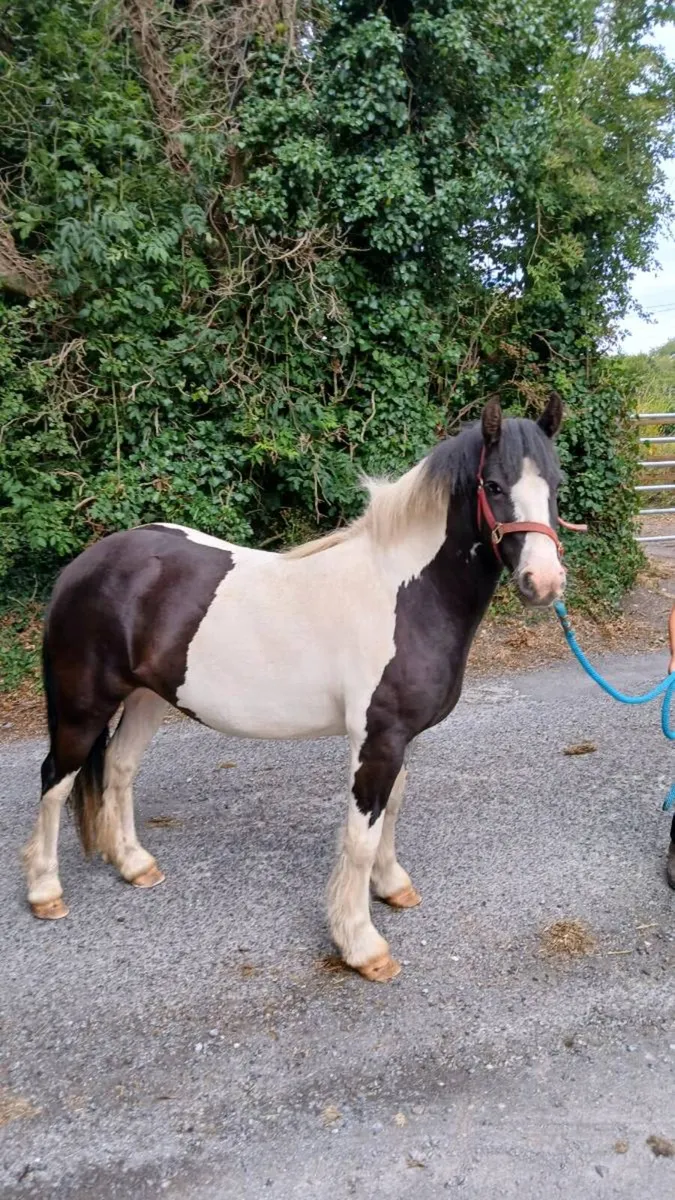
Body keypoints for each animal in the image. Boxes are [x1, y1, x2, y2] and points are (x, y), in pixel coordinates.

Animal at [23, 394, 566, 981]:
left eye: (556, 482)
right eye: (493, 484)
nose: (544, 583)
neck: (405, 595)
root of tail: (82, 567)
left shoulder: (401, 738)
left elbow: (392, 811)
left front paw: (392, 887)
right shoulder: (376, 740)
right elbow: (360, 836)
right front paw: (361, 945)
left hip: (147, 697)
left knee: (119, 769)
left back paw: (134, 865)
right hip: (83, 707)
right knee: (55, 780)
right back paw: (45, 891)